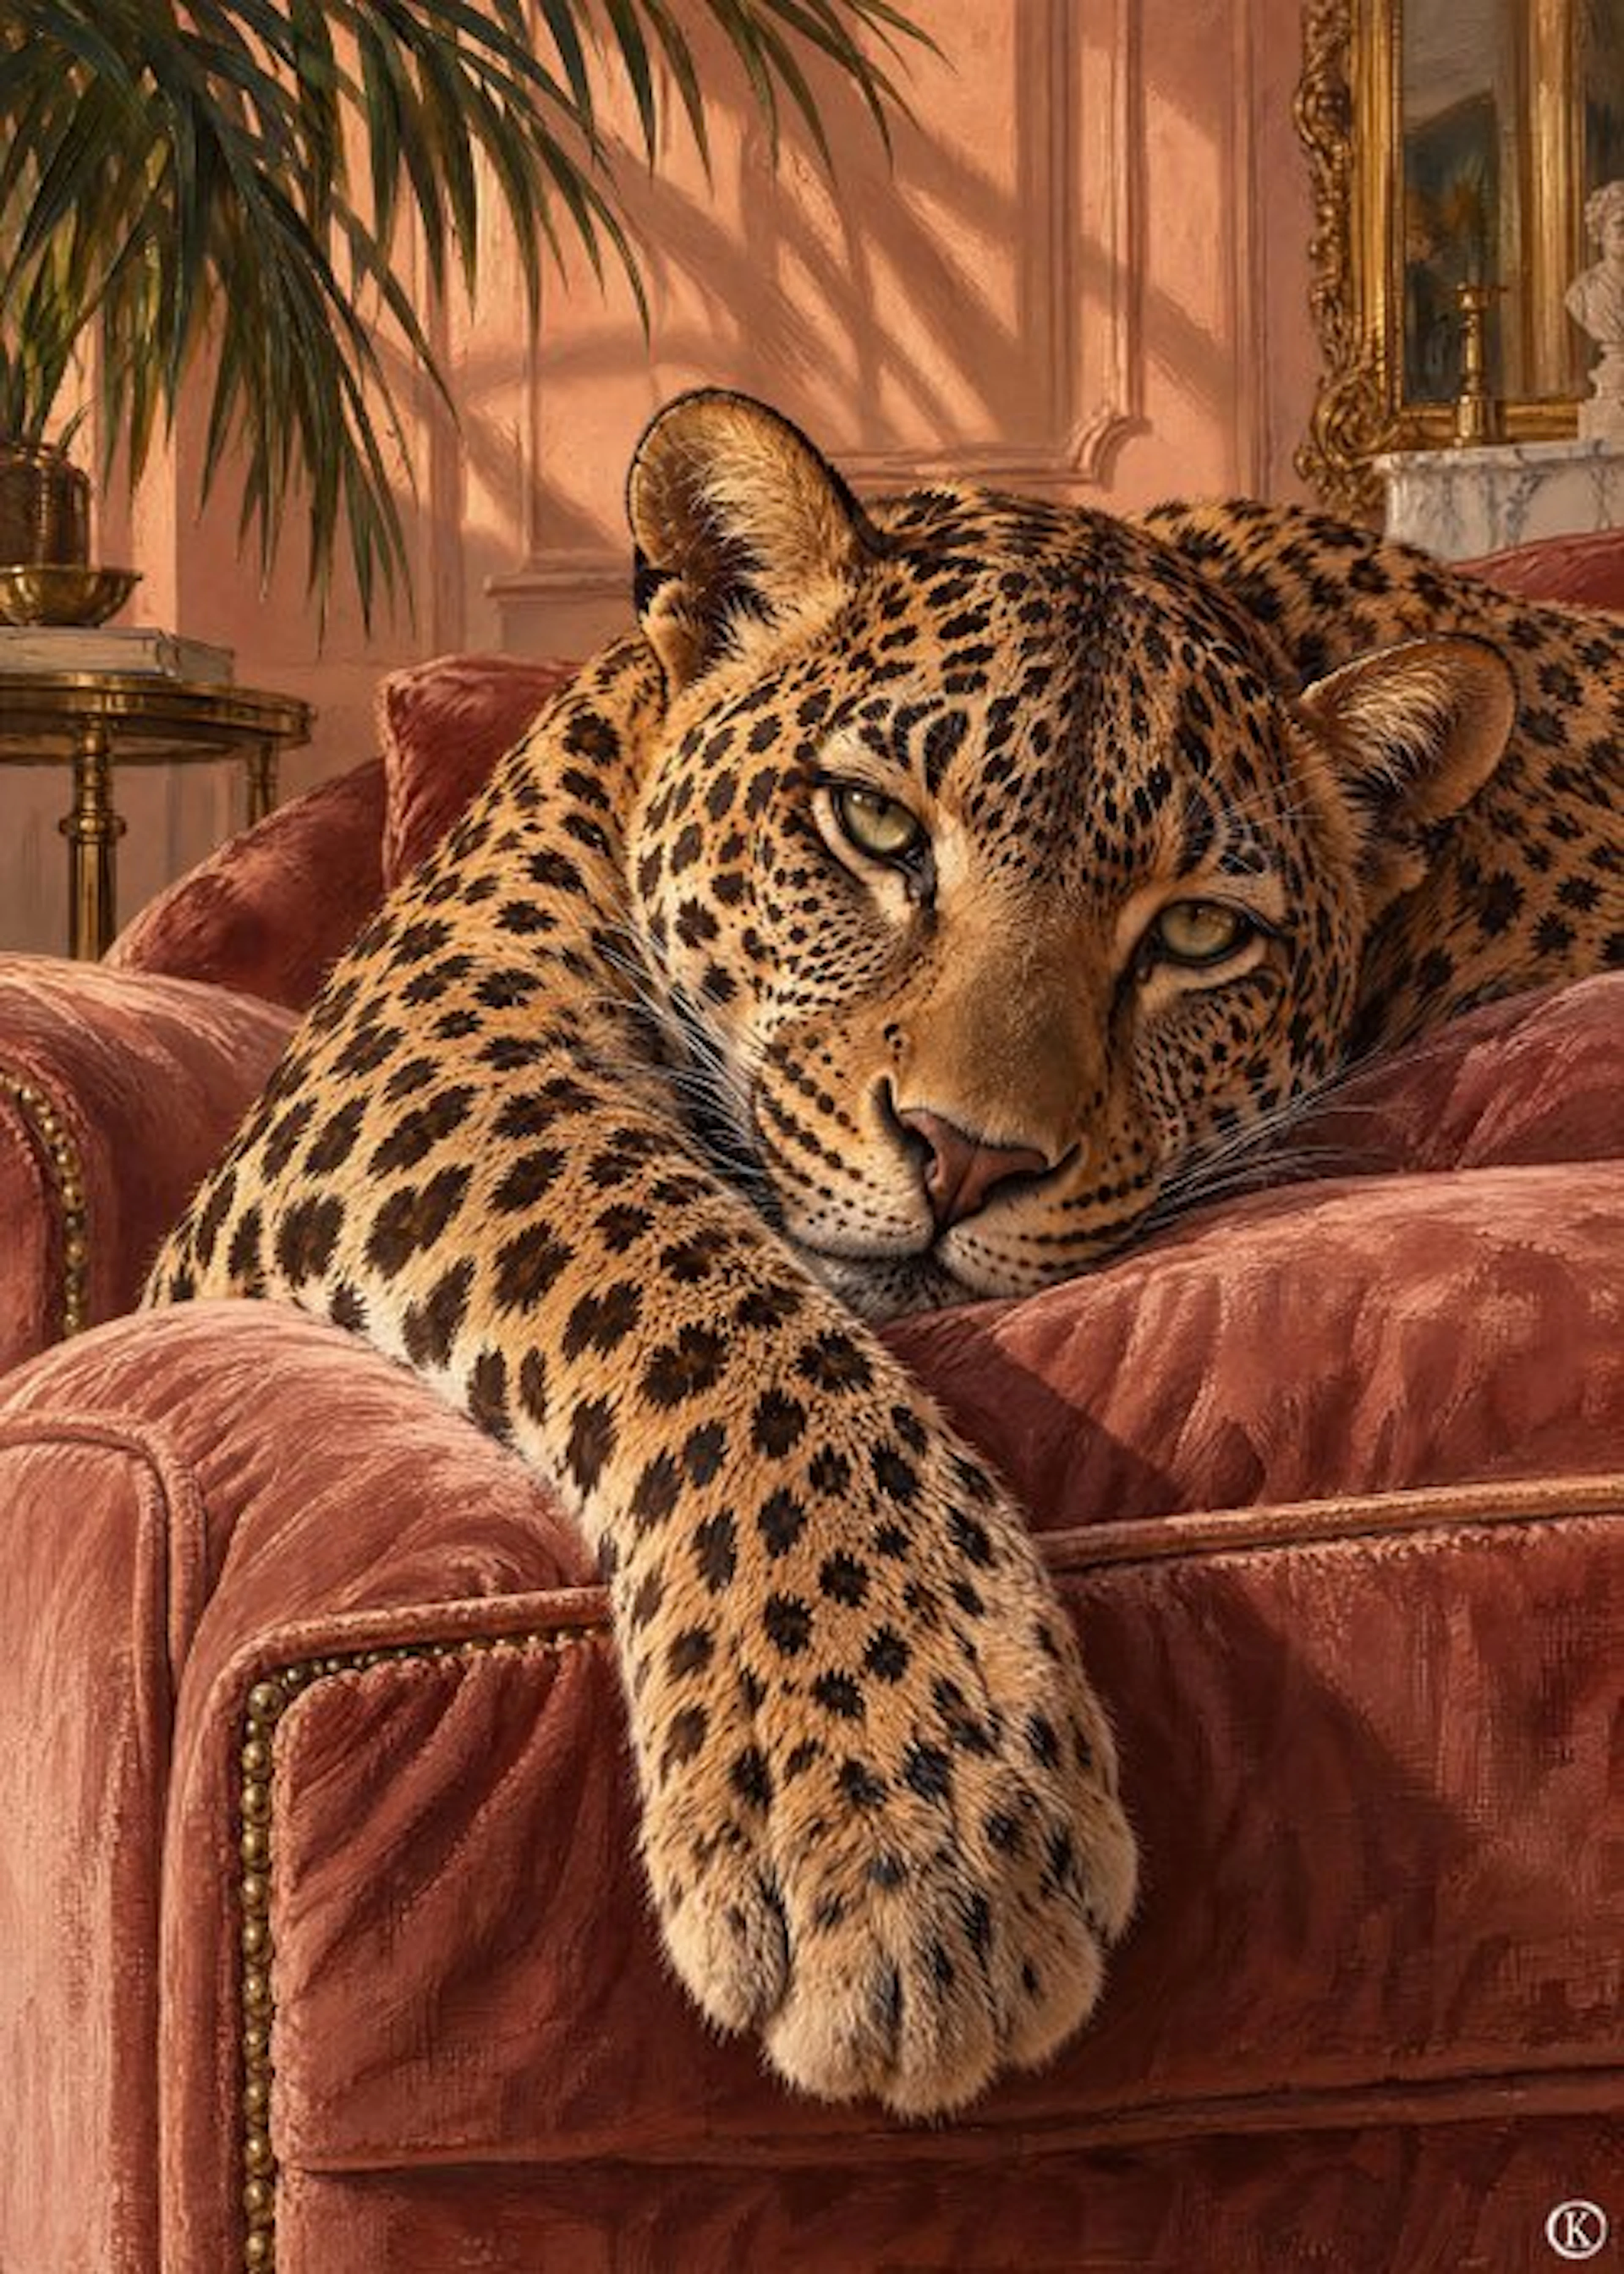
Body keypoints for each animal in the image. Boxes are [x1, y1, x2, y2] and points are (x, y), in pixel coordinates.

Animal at [144, 388, 1622, 2119]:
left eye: (1197, 934)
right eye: (871, 824)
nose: (967, 1153)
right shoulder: (423, 1042)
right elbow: (684, 1277)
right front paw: (906, 1819)